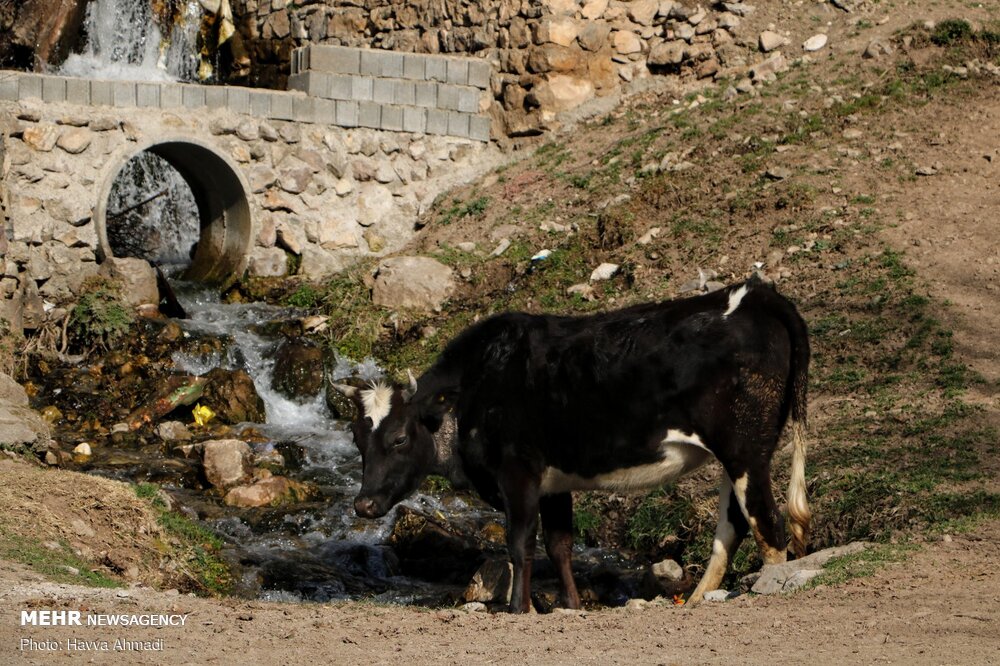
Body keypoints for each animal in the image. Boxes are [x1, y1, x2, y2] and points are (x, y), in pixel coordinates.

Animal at [336, 274, 812, 612]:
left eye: (399, 437)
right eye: (358, 440)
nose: (364, 505)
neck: (476, 389)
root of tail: (756, 294)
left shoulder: (518, 472)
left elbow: (520, 542)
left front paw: (518, 608)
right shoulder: (554, 482)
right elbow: (559, 545)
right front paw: (571, 604)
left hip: (745, 449)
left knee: (767, 525)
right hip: (738, 455)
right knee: (733, 526)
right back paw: (696, 599)